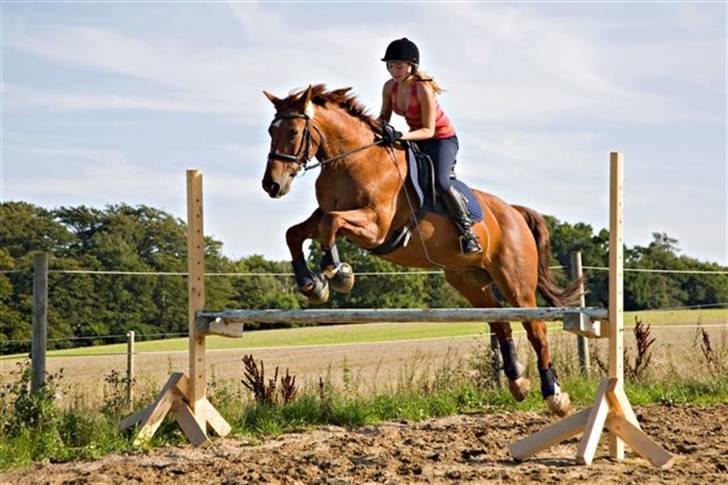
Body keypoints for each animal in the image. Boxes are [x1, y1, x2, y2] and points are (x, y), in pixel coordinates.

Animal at [260, 84, 580, 416]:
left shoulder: (375, 227)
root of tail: (514, 212)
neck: (351, 161)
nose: (271, 185)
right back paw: (518, 383)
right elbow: (295, 233)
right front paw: (311, 284)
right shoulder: (325, 214)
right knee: (501, 322)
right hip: (468, 280)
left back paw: (554, 395)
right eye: (271, 131)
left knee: (536, 329)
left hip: (515, 280)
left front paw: (338, 274)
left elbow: (330, 225)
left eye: (293, 131)